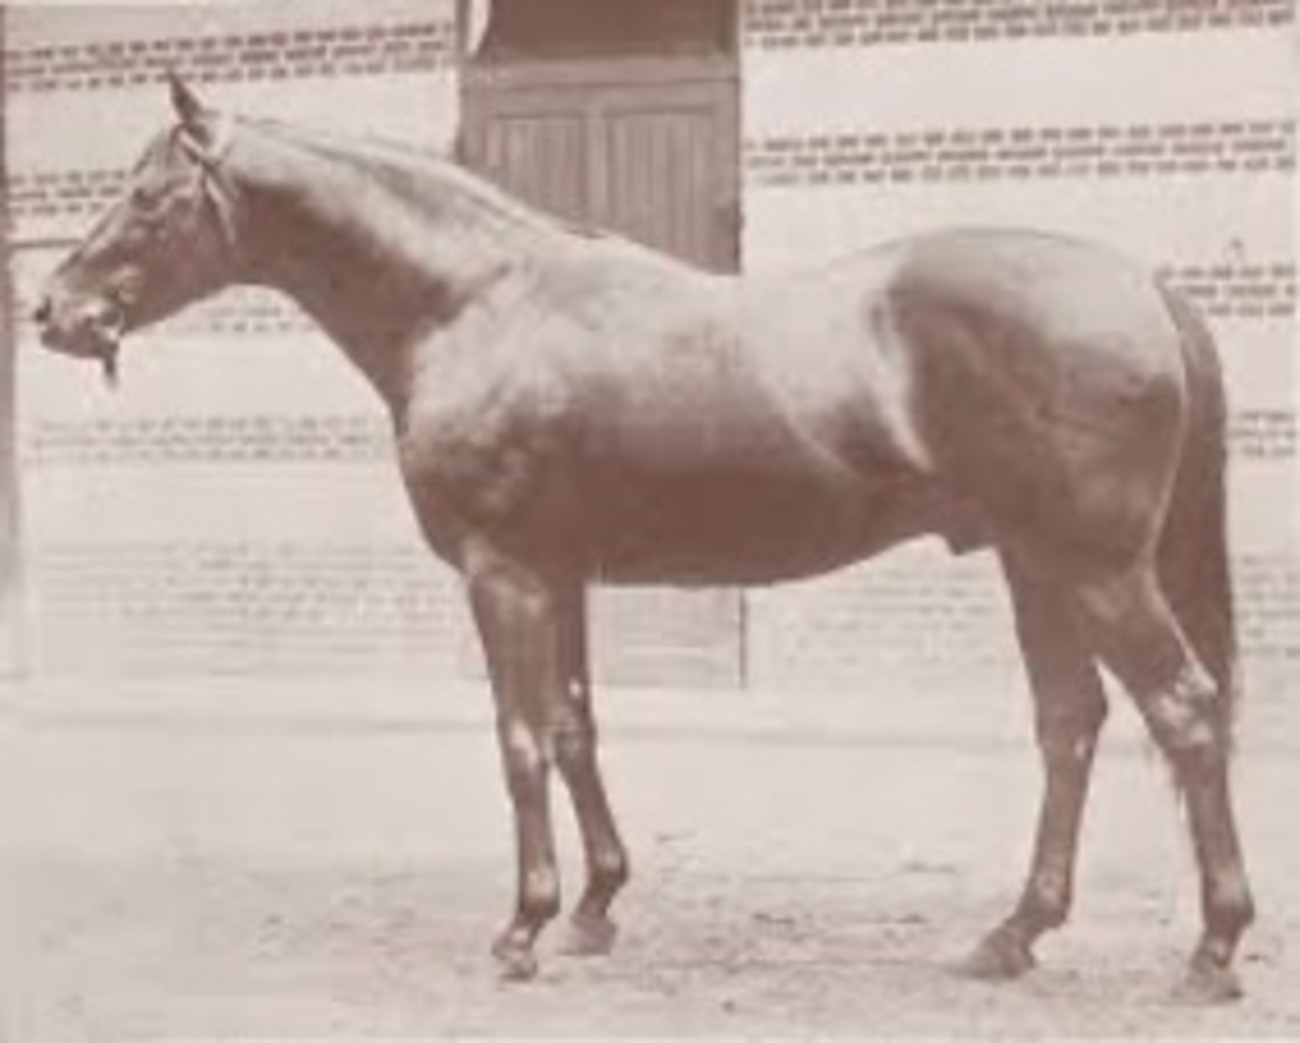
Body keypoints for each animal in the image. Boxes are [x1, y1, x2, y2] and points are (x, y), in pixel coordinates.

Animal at [34, 76, 1254, 1002]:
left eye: (149, 196)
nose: (53, 310)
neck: (476, 304)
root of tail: (1142, 284)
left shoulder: (504, 574)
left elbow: (519, 739)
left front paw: (520, 930)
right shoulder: (561, 573)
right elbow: (576, 729)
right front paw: (594, 908)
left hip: (1095, 569)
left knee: (1184, 713)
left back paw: (1210, 950)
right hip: (1033, 564)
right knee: (1071, 723)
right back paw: (1011, 936)